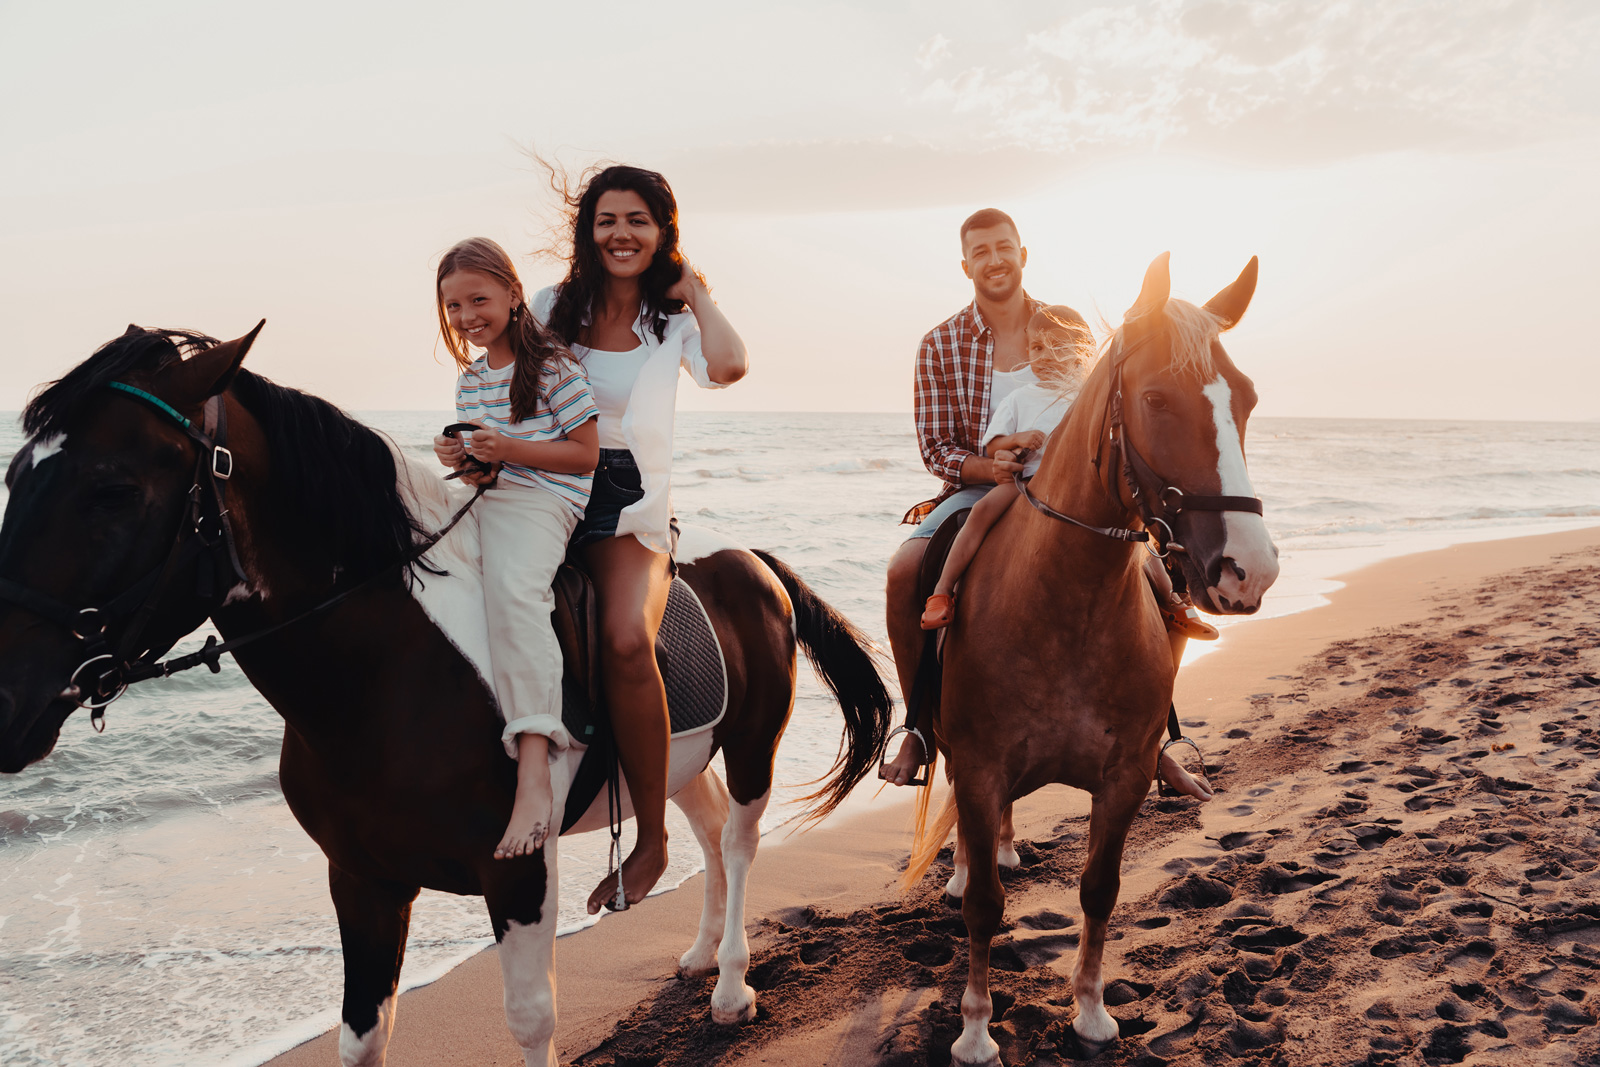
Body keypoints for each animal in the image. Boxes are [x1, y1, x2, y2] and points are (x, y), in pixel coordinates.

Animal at [0, 326, 889, 1067]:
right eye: (13, 476)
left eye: (112, 489)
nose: (8, 698)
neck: (389, 675)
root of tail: (751, 561)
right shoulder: (360, 879)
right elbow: (362, 1036)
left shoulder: (519, 876)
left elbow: (531, 1020)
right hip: (678, 752)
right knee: (699, 830)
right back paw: (700, 952)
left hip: (752, 745)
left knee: (737, 843)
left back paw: (732, 986)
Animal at [908, 254, 1280, 1062]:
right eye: (1155, 397)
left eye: (1245, 398)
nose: (1250, 570)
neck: (1064, 605)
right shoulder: (981, 766)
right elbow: (984, 906)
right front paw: (976, 1029)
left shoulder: (1124, 778)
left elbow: (1098, 889)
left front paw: (1090, 1012)